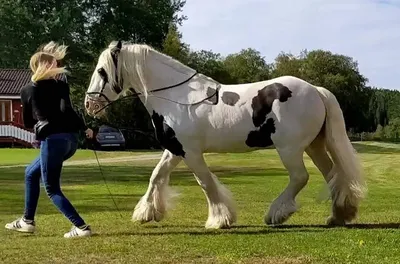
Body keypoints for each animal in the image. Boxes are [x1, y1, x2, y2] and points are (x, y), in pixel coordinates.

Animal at [84, 40, 366, 229]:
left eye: (101, 71)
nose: (89, 104)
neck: (176, 98)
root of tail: (316, 90)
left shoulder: (191, 153)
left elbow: (205, 183)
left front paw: (220, 219)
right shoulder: (175, 150)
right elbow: (156, 176)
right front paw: (147, 213)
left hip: (290, 149)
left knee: (300, 177)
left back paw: (276, 214)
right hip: (314, 146)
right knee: (332, 175)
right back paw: (338, 215)